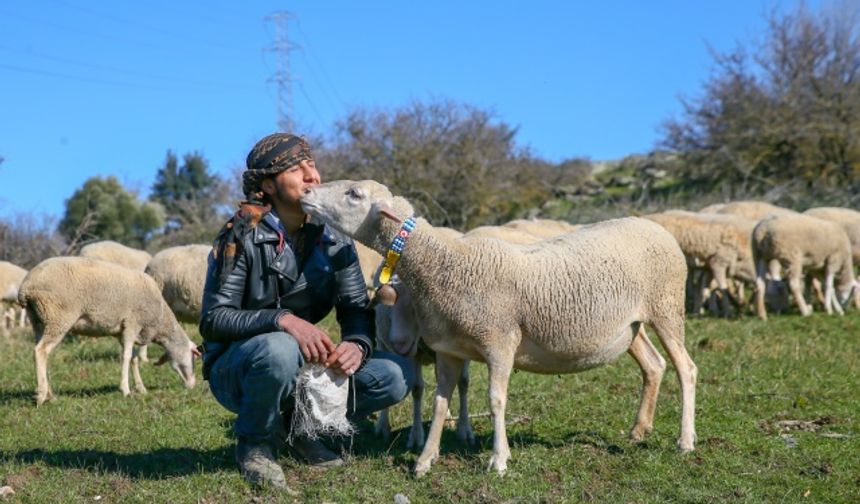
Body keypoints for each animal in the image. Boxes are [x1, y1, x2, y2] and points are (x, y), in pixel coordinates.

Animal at [19, 256, 201, 406]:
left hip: (39, 320)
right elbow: (126, 357)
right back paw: (42, 395)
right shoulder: (132, 324)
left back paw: (49, 394)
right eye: (193, 357)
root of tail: (26, 286)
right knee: (41, 351)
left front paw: (141, 388)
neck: (161, 320)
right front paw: (126, 390)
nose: (193, 384)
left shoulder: (123, 332)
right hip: (59, 317)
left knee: (41, 353)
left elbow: (134, 359)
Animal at [298, 180, 696, 476]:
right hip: (632, 326)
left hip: (667, 306)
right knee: (654, 366)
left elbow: (495, 400)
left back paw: (685, 441)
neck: (445, 264)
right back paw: (639, 430)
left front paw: (498, 459)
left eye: (354, 193)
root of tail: (653, 225)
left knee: (686, 369)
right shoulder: (448, 350)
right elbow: (440, 403)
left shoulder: (500, 341)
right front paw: (425, 460)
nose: (305, 193)